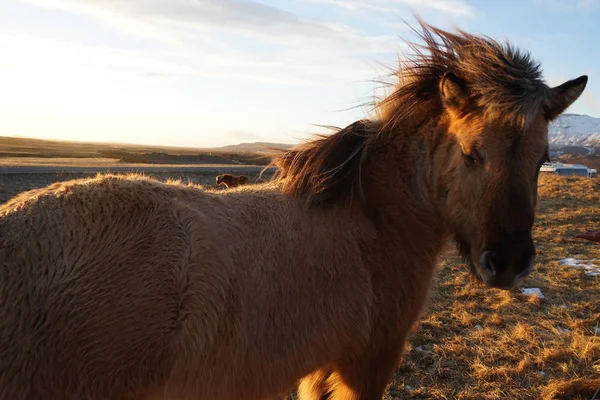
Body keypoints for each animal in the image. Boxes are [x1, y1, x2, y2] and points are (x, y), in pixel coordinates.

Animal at [0, 19, 588, 400]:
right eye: (471, 153)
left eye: (543, 159)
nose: (509, 263)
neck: (372, 220)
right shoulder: (365, 362)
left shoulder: (322, 367)